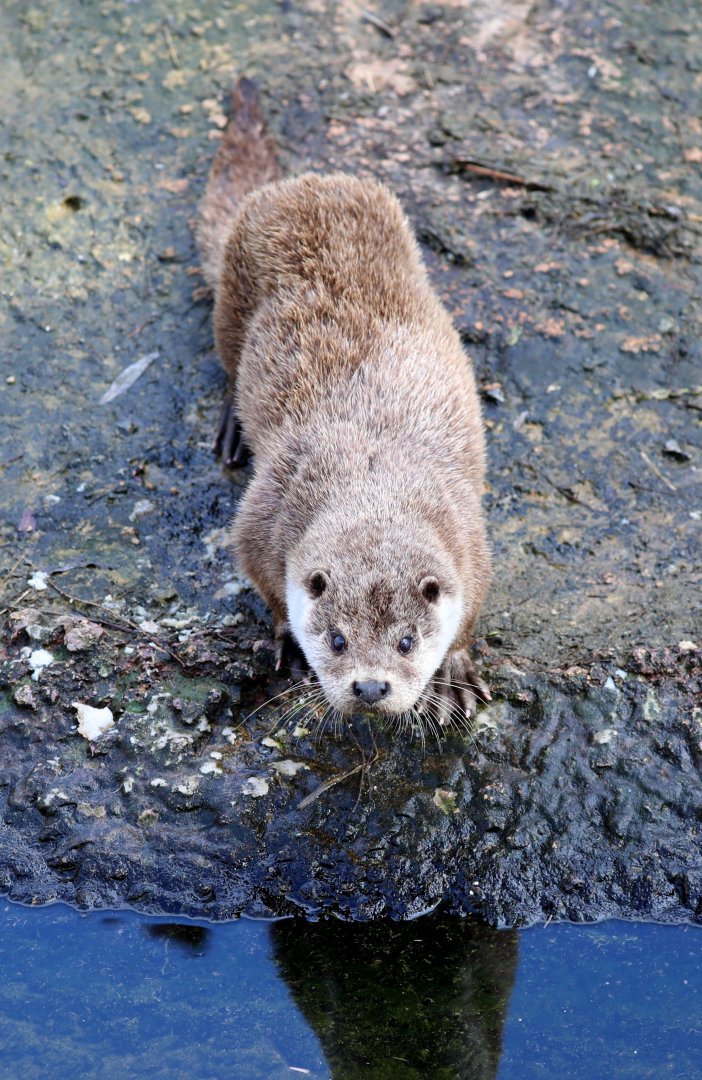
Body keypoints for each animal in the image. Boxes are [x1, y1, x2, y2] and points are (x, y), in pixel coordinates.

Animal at [197, 79, 491, 724]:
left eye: (406, 641)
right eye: (336, 639)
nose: (371, 687)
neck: (374, 473)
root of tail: (295, 185)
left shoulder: (470, 541)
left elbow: (469, 614)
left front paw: (454, 671)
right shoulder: (262, 521)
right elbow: (268, 587)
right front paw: (285, 637)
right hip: (235, 291)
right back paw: (231, 428)